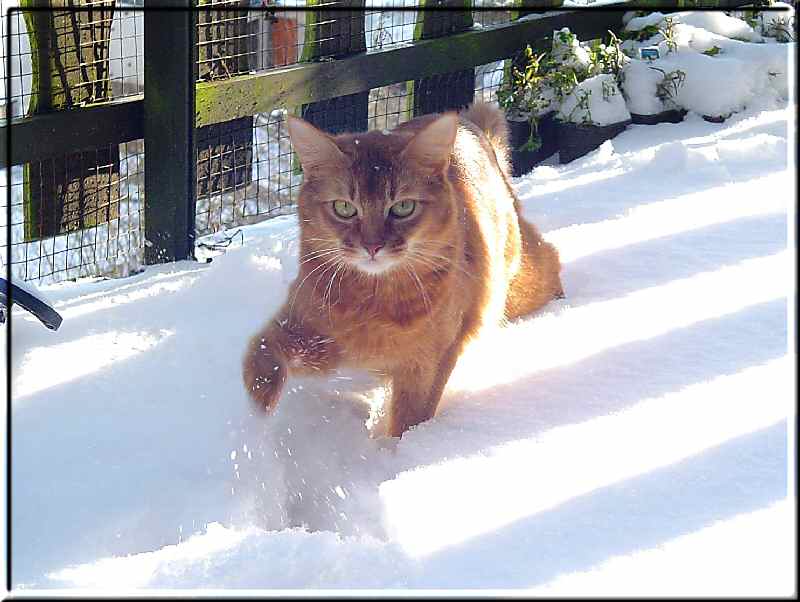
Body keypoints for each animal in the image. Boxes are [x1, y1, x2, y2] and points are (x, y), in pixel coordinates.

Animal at [242, 103, 564, 436]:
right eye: (344, 208)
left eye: (403, 207)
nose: (372, 246)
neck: (373, 302)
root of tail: (470, 124)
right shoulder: (309, 324)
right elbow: (261, 347)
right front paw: (260, 404)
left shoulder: (429, 360)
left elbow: (410, 420)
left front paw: (405, 450)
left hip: (517, 280)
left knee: (549, 261)